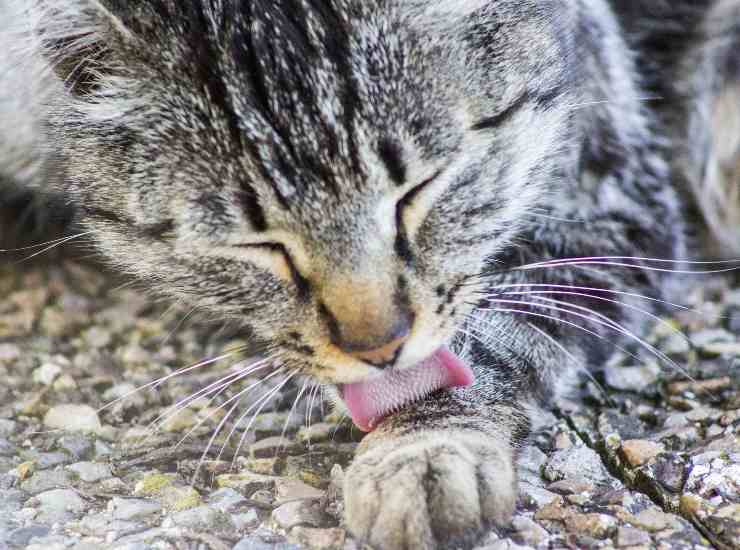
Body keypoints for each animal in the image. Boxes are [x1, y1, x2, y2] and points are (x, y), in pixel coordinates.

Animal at [1, 1, 740, 550]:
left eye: (419, 190)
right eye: (256, 243)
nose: (379, 347)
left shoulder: (610, 205)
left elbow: (492, 338)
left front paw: (428, 449)